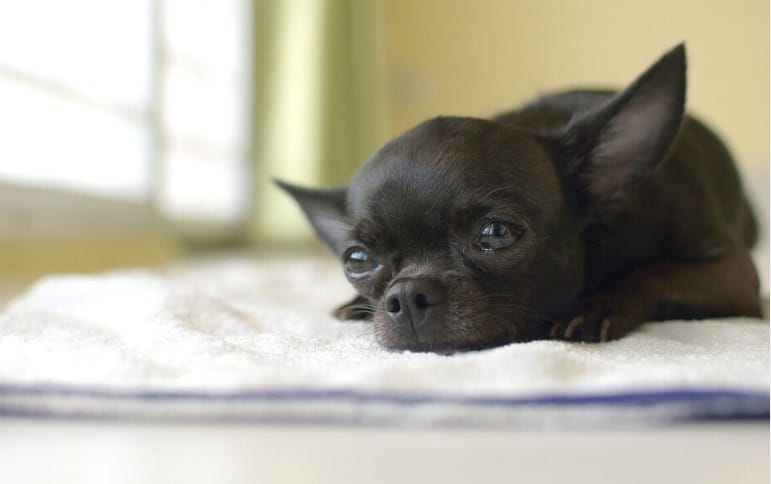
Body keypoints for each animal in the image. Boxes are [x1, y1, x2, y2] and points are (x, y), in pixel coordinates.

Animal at [276, 44, 760, 352]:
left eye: (496, 233)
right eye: (356, 259)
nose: (407, 295)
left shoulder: (735, 274)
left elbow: (653, 273)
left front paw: (597, 305)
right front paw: (354, 304)